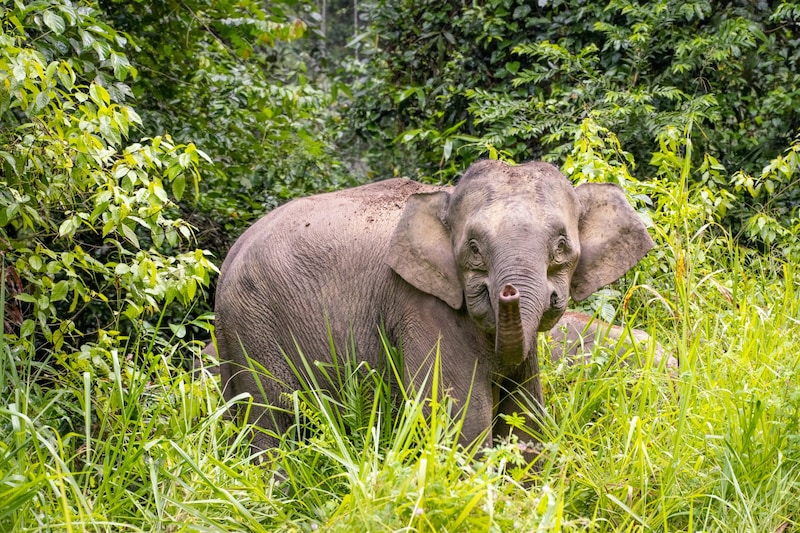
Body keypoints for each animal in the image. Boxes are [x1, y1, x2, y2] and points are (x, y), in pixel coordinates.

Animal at [214, 160, 656, 450]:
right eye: (474, 249)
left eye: (561, 246)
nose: (507, 293)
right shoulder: (421, 305)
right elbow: (461, 418)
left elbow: (525, 413)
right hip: (255, 327)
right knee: (270, 420)